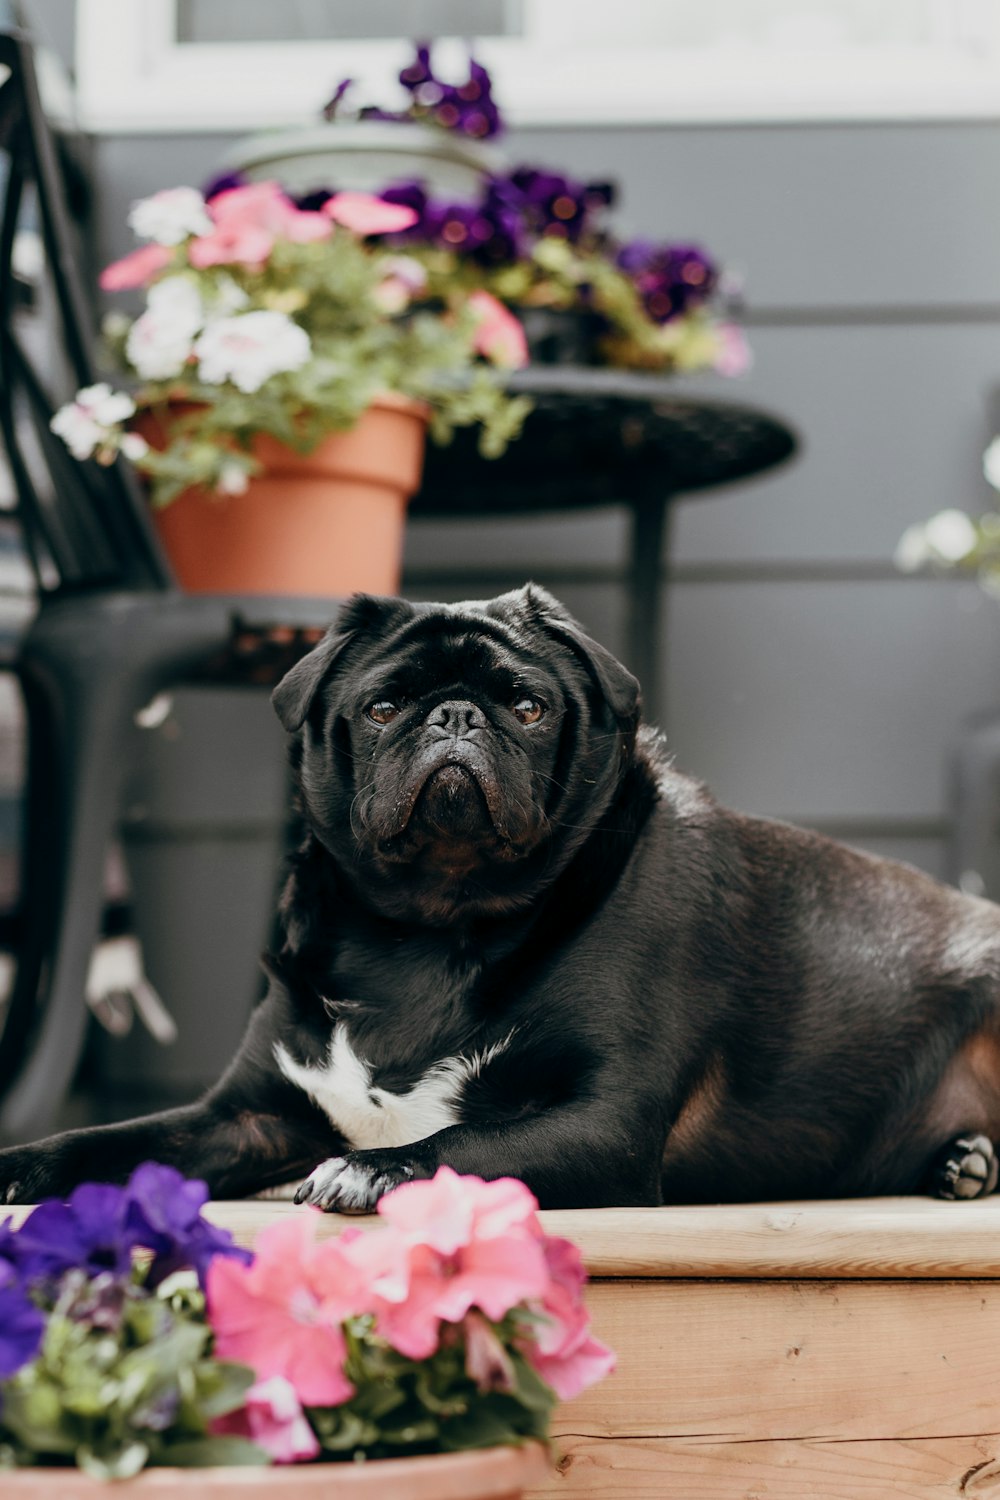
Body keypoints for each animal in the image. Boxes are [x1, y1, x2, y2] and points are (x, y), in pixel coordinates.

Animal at [1, 579, 1000, 1212]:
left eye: (528, 707)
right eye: (381, 708)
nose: (455, 714)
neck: (429, 930)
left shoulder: (603, 1122)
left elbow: (462, 1145)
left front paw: (373, 1169)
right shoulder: (242, 1117)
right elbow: (111, 1142)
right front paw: (21, 1162)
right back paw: (964, 1161)